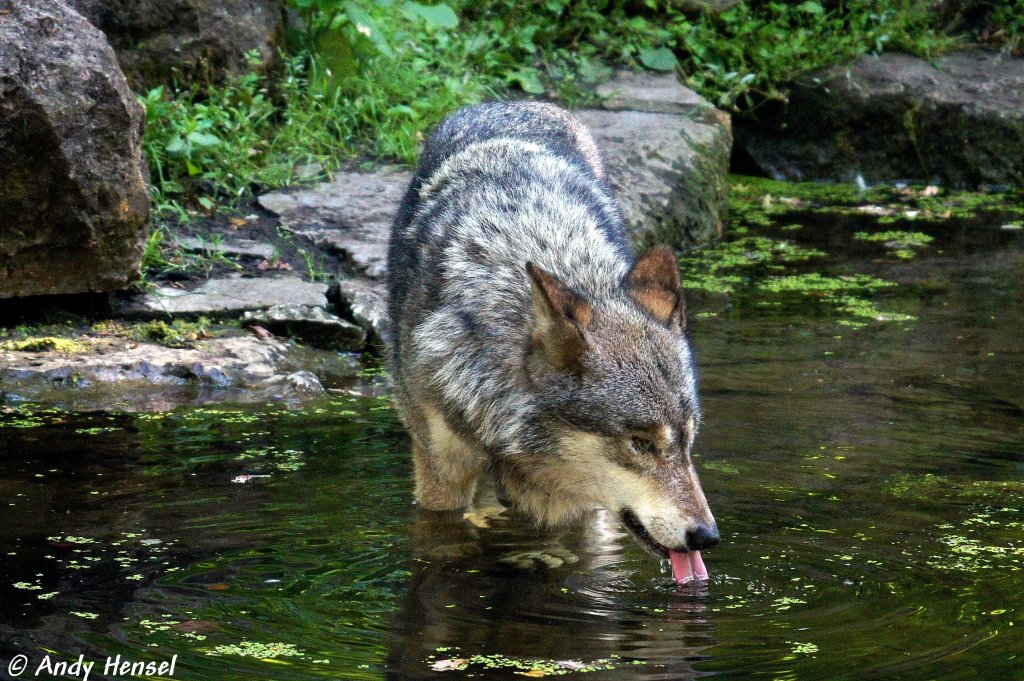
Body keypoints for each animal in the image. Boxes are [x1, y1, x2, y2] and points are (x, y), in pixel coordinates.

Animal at [385, 100, 720, 577]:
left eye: (687, 441)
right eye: (640, 444)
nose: (707, 536)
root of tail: (514, 102)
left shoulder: (580, 507)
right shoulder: (441, 479)